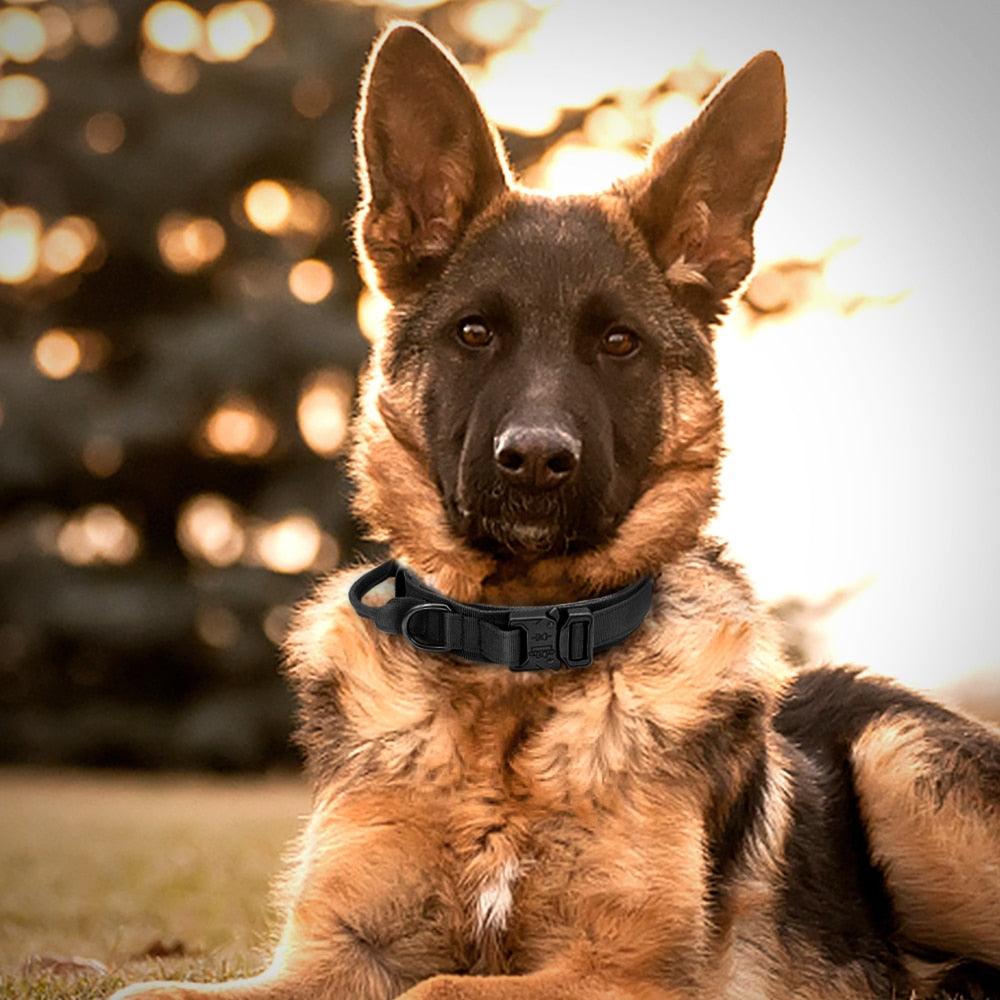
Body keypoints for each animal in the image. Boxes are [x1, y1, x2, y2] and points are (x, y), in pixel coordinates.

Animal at [111, 19, 1000, 1000]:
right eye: (474, 333)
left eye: (618, 343)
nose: (535, 460)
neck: (516, 654)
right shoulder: (332, 953)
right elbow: (146, 987)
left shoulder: (631, 970)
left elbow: (436, 986)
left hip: (901, 763)